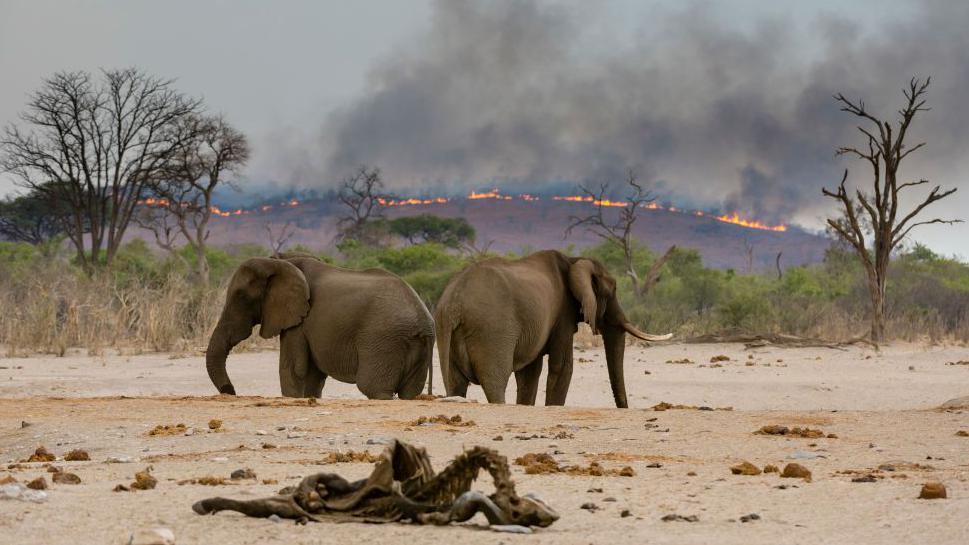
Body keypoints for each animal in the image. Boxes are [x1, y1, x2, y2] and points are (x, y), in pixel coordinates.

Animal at [206, 255, 432, 400]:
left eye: (241, 297)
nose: (231, 391)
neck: (280, 263)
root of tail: (423, 318)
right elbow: (312, 377)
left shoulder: (299, 321)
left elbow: (293, 369)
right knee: (409, 392)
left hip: (383, 339)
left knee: (373, 387)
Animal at [434, 249, 668, 406]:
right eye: (612, 291)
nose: (623, 408)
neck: (574, 261)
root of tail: (454, 302)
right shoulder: (562, 315)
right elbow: (563, 367)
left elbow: (530, 373)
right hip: (491, 331)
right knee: (495, 383)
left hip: (446, 330)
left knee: (454, 383)